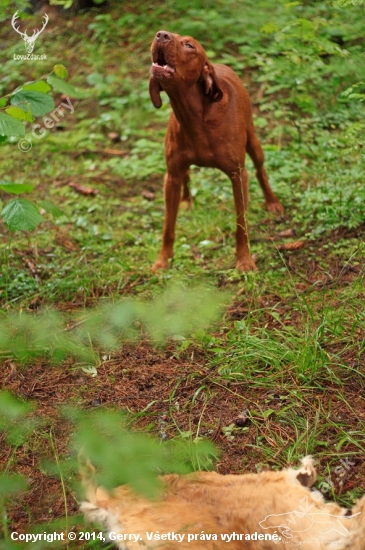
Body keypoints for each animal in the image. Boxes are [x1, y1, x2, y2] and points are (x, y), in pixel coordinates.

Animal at [149, 30, 282, 274]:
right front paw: (163, 260)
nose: (161, 34)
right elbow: (168, 226)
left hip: (254, 144)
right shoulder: (171, 175)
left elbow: (241, 224)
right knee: (187, 176)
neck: (196, 118)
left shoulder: (238, 176)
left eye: (189, 45)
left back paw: (272, 202)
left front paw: (244, 261)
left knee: (261, 170)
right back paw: (186, 201)